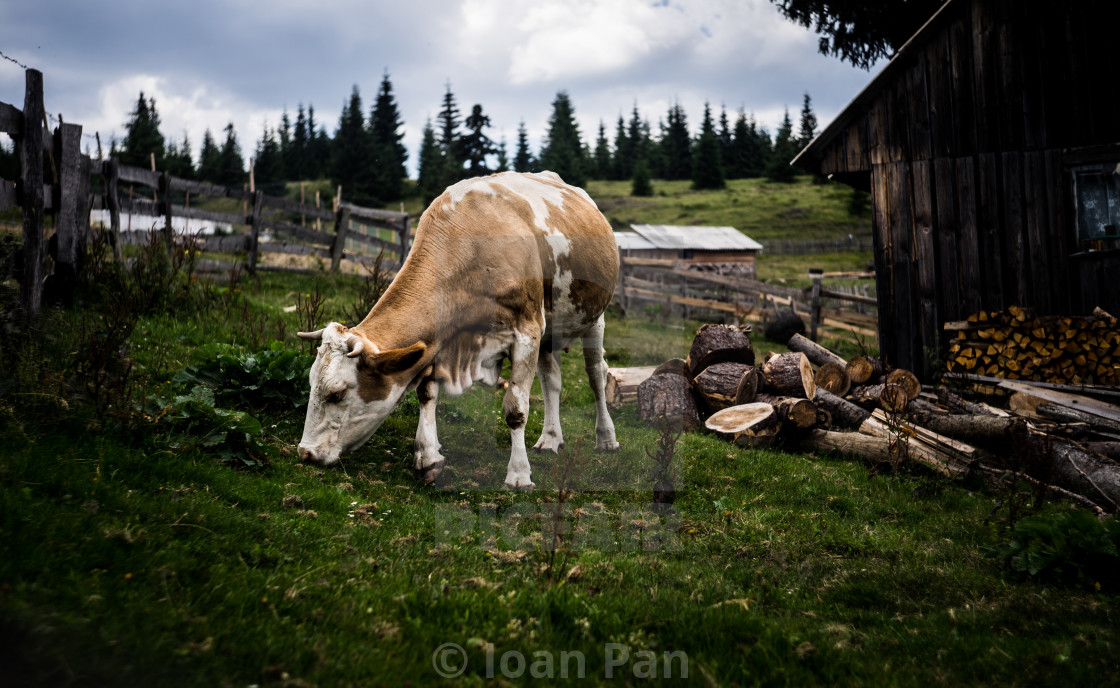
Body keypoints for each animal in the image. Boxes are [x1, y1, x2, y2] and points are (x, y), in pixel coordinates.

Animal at [297, 170, 622, 488]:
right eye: (312, 384)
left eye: (337, 393)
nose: (305, 453)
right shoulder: (440, 340)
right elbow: (426, 393)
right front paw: (428, 459)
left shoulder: (527, 330)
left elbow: (516, 409)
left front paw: (518, 474)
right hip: (551, 330)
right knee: (551, 381)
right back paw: (551, 439)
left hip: (594, 318)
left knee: (596, 375)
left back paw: (606, 438)